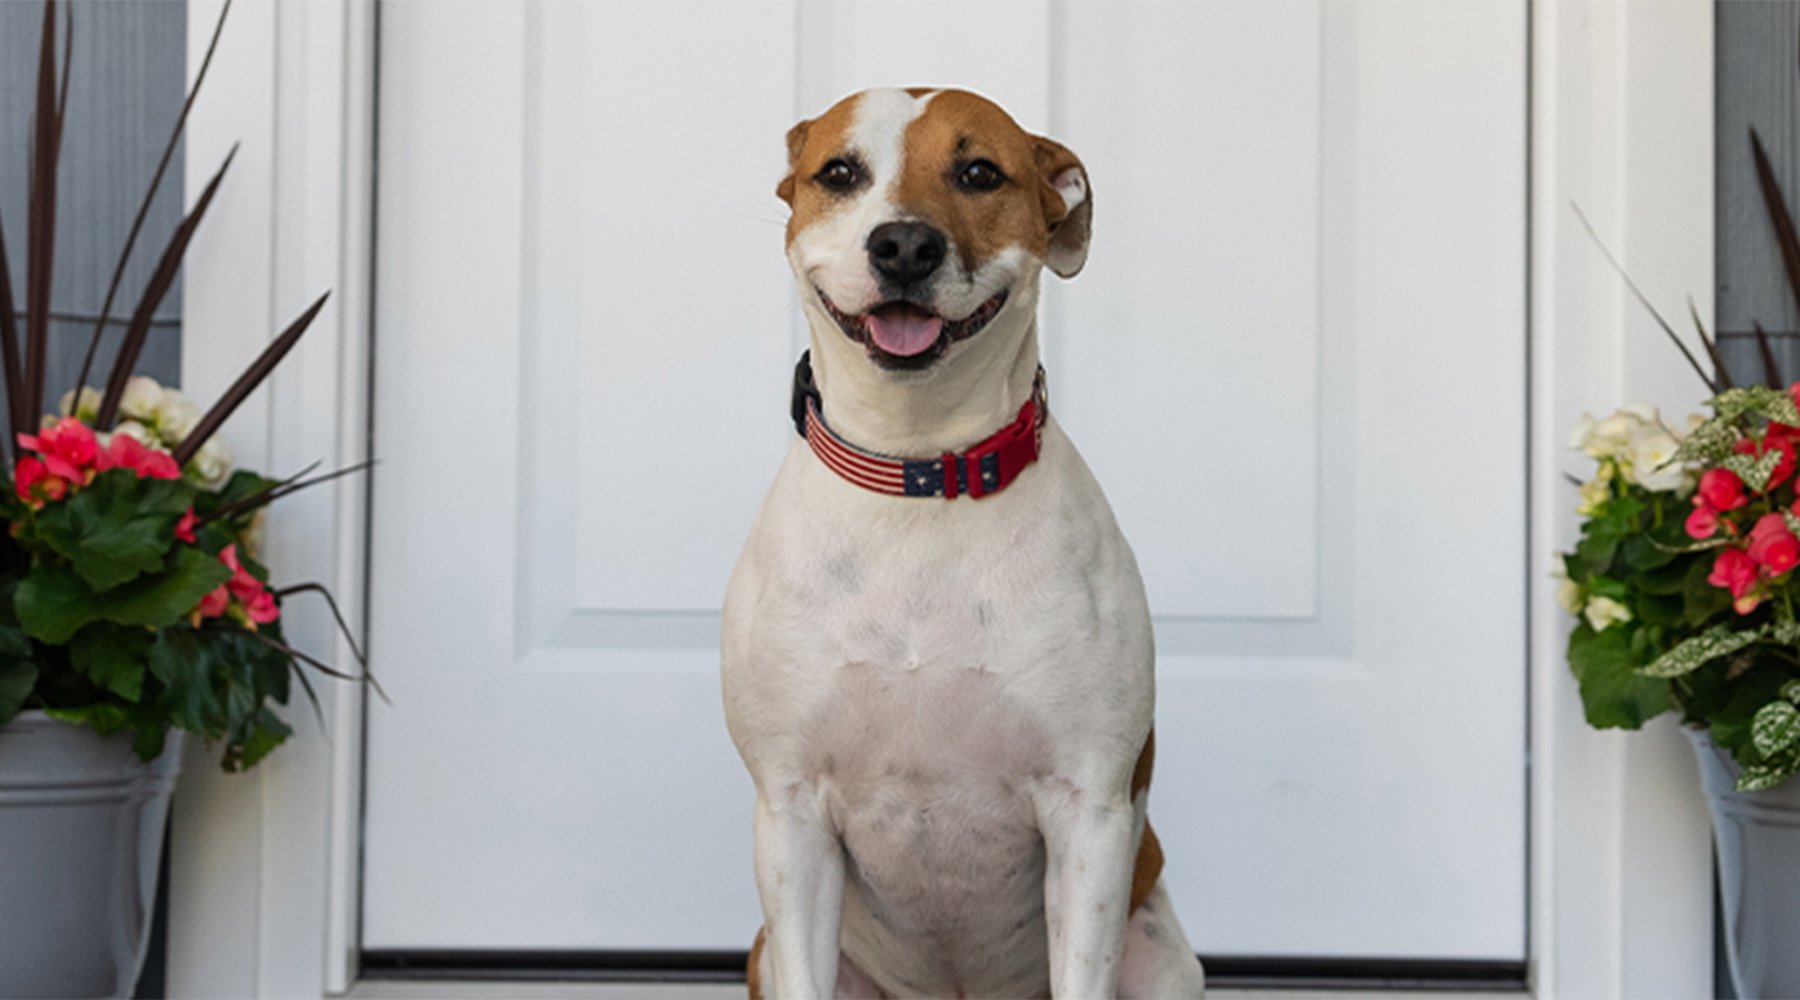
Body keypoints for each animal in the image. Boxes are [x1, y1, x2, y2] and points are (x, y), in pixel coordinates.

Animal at [720, 87, 1209, 1000]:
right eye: (840, 173)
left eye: (980, 172)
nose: (905, 244)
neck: (920, 471)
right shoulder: (792, 816)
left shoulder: (1089, 814)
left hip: (1161, 955)